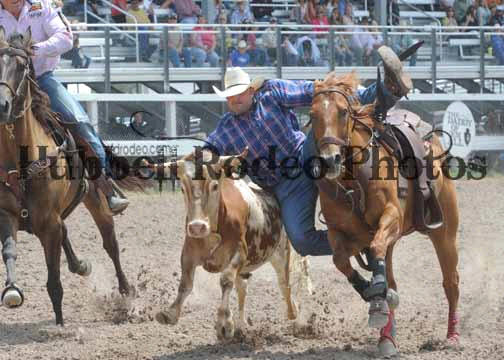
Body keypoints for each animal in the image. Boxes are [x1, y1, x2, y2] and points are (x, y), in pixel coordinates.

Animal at [0, 28, 148, 326]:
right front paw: (11, 290)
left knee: (111, 244)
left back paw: (126, 293)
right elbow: (9, 251)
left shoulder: (49, 224)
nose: (1, 104)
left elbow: (54, 282)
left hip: (97, 202)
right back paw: (81, 266)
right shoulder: (7, 215)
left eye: (21, 66)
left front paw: (59, 323)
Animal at [310, 71, 458, 356]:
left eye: (343, 112)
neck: (354, 181)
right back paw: (387, 338)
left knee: (451, 282)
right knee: (391, 276)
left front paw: (378, 296)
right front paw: (371, 292)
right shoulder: (341, 233)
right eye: (312, 115)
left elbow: (376, 250)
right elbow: (340, 260)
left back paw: (452, 335)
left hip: (445, 232)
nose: (330, 160)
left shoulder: (391, 218)